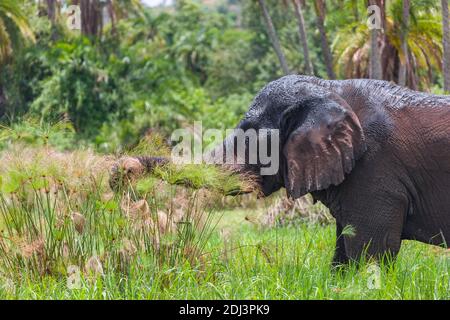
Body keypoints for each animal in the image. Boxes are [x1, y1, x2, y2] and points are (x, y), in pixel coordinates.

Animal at [111, 76, 450, 266]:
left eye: (249, 131)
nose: (122, 170)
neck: (330, 89)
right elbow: (344, 252)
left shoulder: (376, 170)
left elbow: (372, 252)